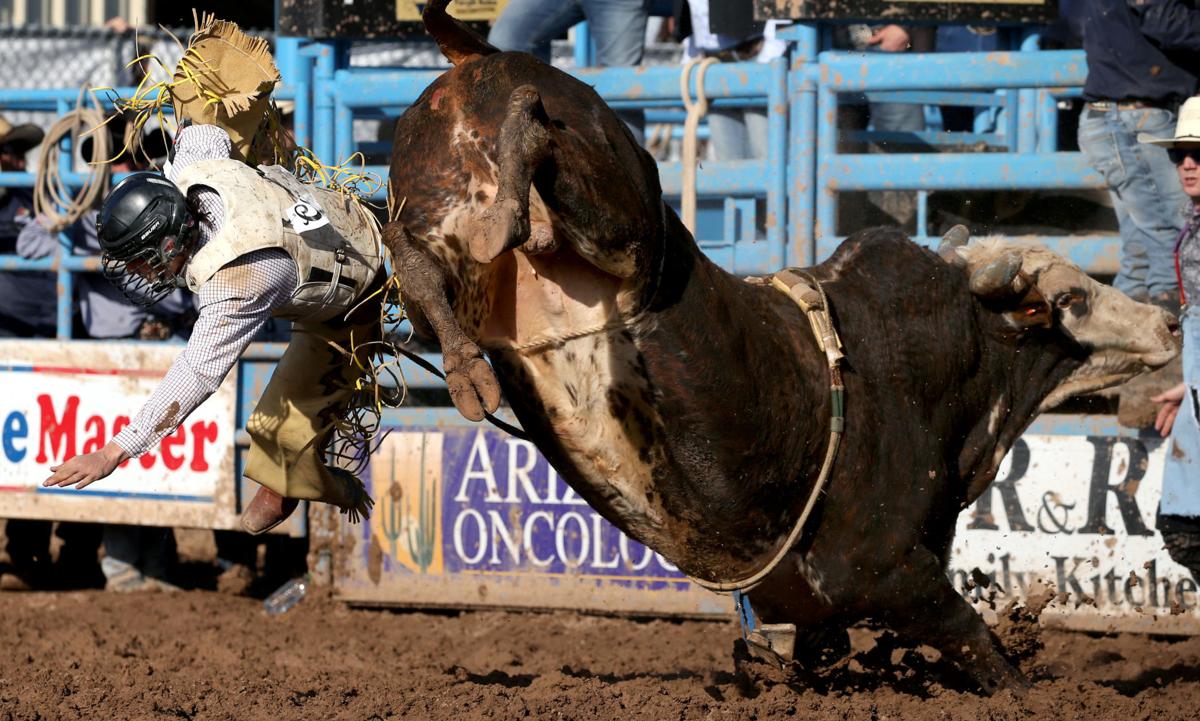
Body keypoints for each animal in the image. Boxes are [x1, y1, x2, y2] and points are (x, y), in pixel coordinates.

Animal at [386, 1, 1180, 695]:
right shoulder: (888, 571)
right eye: (1063, 302)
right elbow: (975, 640)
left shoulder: (815, 604)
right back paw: (520, 159)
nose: (1168, 325)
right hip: (623, 218)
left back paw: (464, 360)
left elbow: (819, 652)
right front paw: (1021, 684)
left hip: (432, 205)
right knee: (551, 169)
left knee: (417, 261)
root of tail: (480, 56)